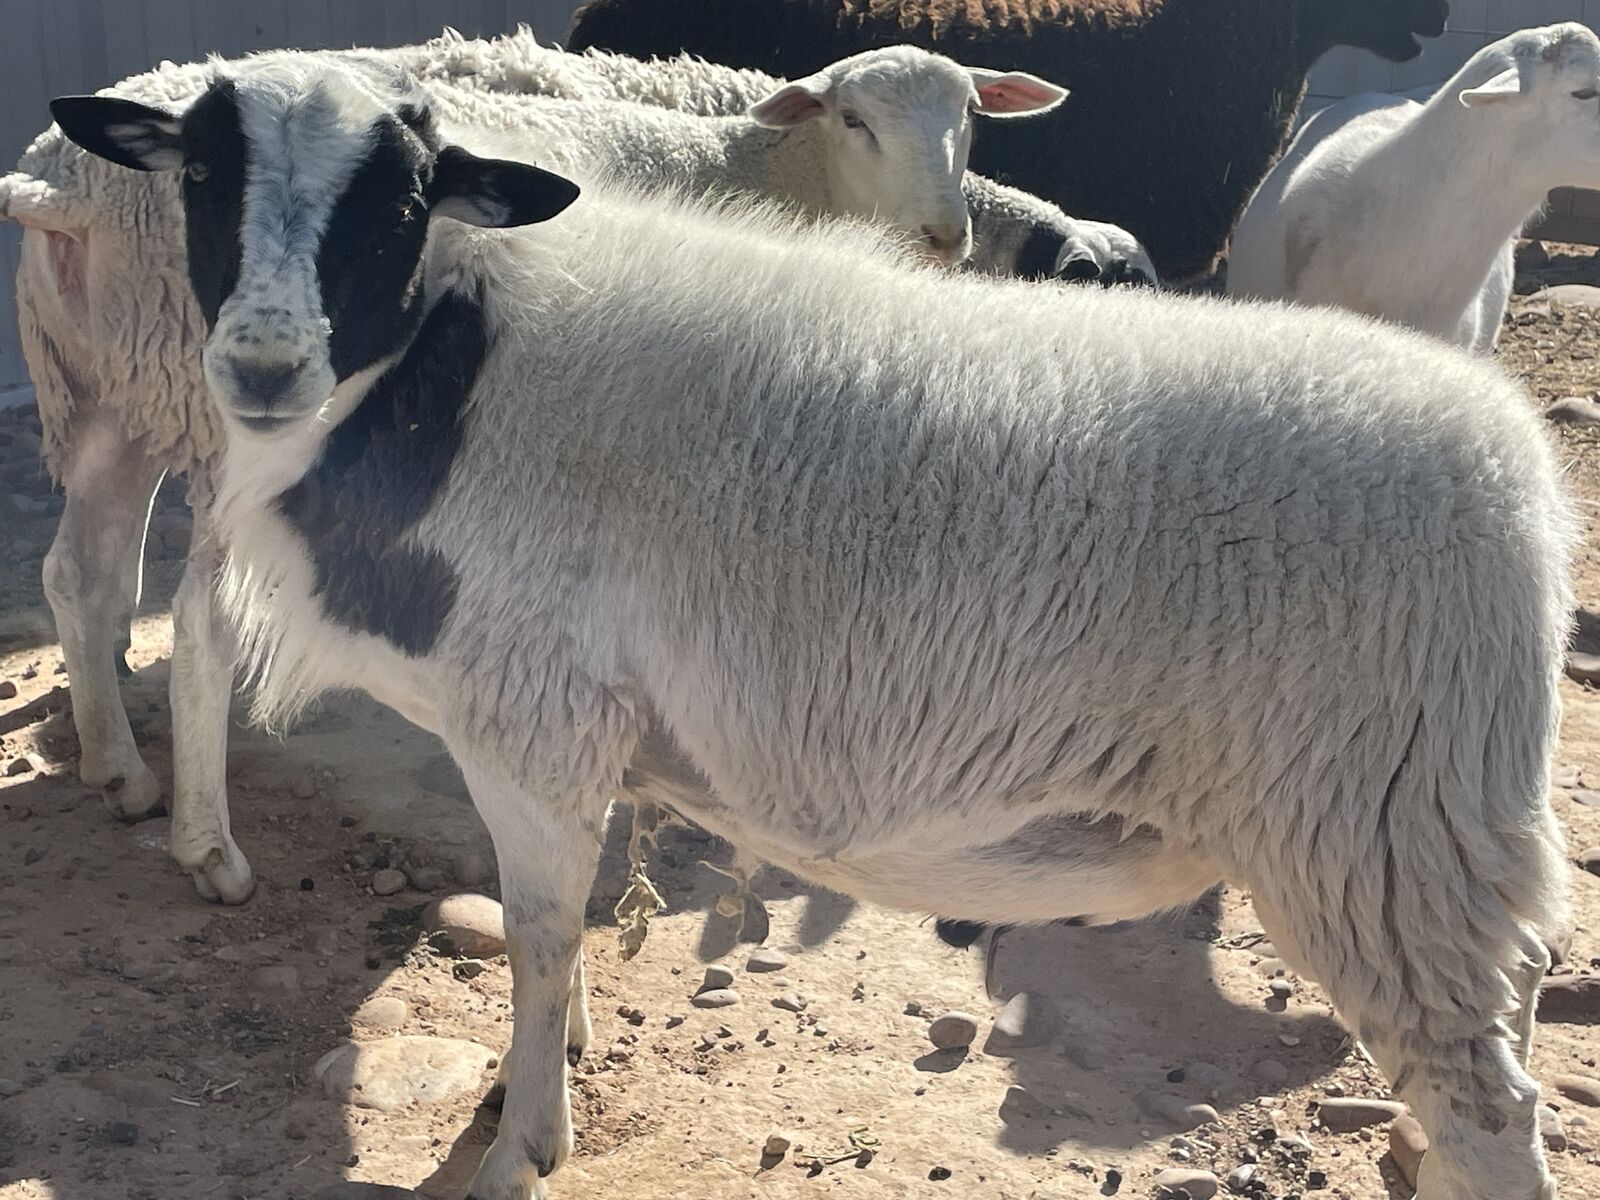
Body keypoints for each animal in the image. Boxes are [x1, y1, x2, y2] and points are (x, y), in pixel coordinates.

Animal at [0, 28, 1145, 909]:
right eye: (856, 119)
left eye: (971, 120)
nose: (945, 236)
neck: (761, 164)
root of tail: (60, 180)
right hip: (214, 405)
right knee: (199, 618)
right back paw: (210, 850)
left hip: (108, 395)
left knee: (83, 574)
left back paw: (118, 767)